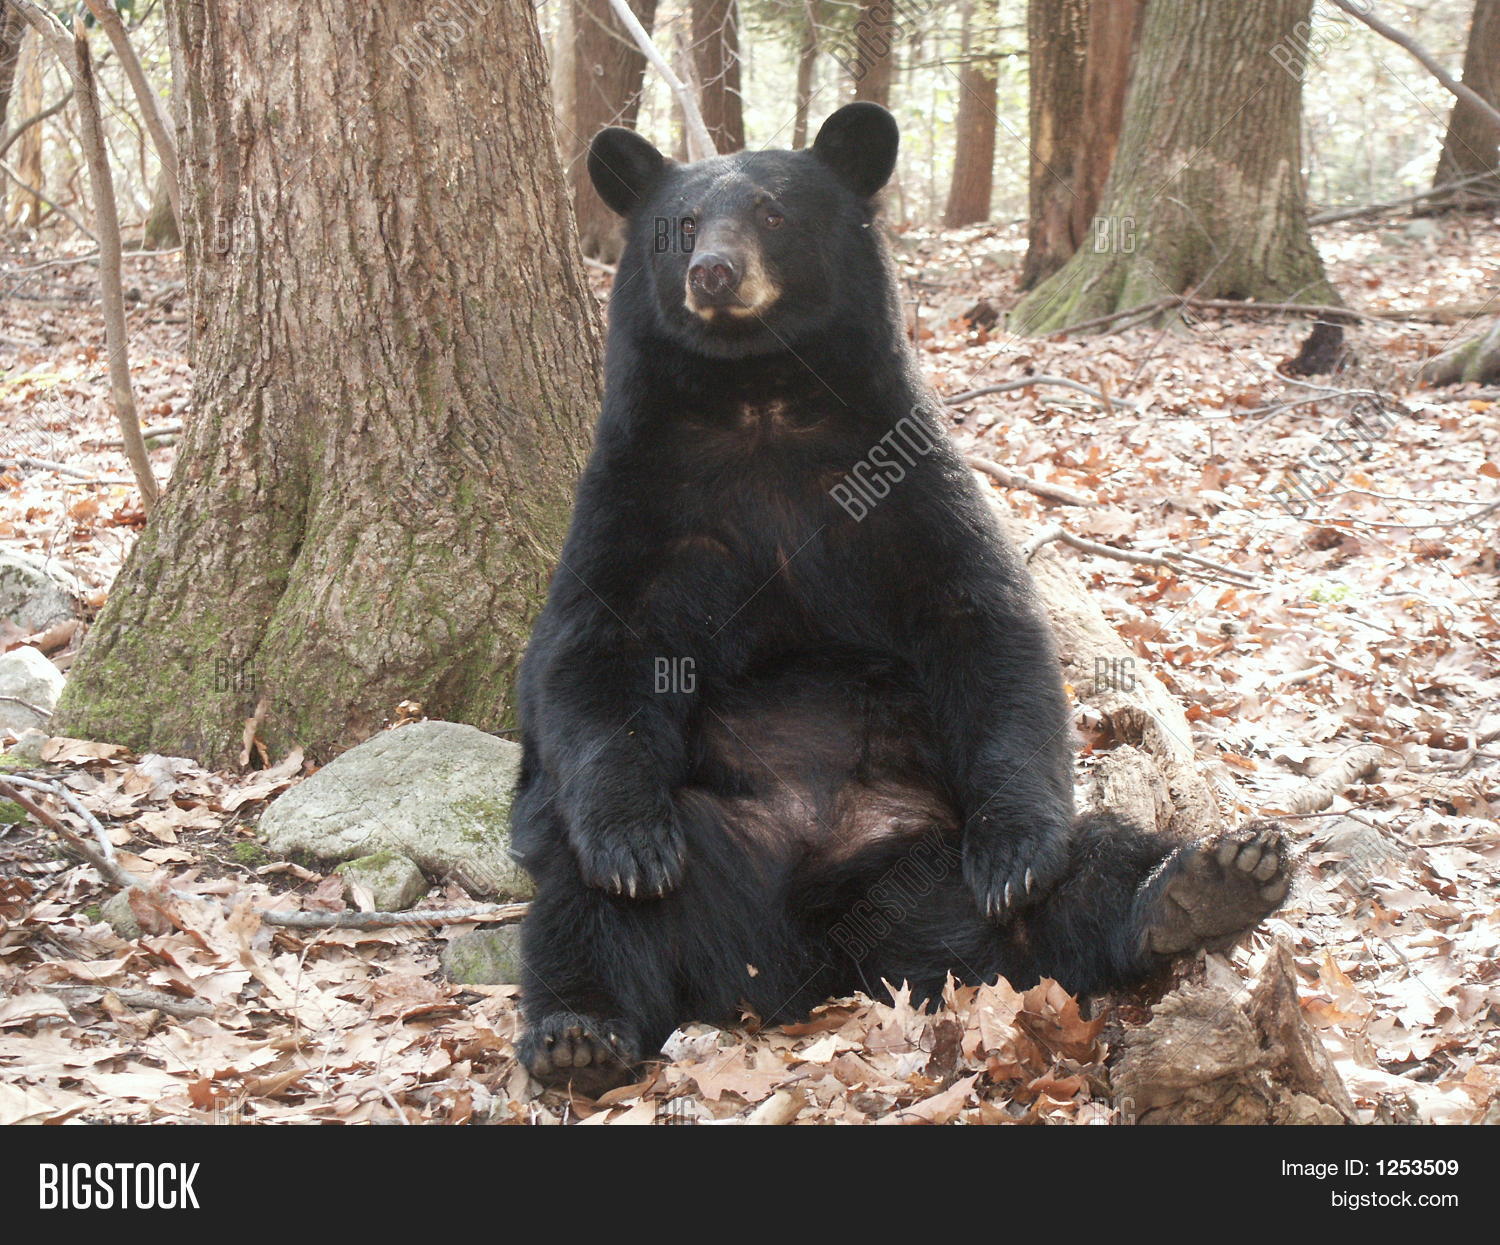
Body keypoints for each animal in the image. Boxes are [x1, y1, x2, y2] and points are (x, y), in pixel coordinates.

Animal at [510, 102, 1291, 1094]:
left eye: (772, 212)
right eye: (678, 226)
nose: (713, 272)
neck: (757, 399)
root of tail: (791, 957)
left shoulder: (905, 473)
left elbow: (985, 621)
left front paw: (1018, 852)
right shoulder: (638, 490)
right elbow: (595, 647)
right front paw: (631, 844)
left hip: (925, 858)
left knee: (1078, 884)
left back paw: (1210, 880)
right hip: (699, 846)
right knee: (583, 911)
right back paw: (579, 1032)